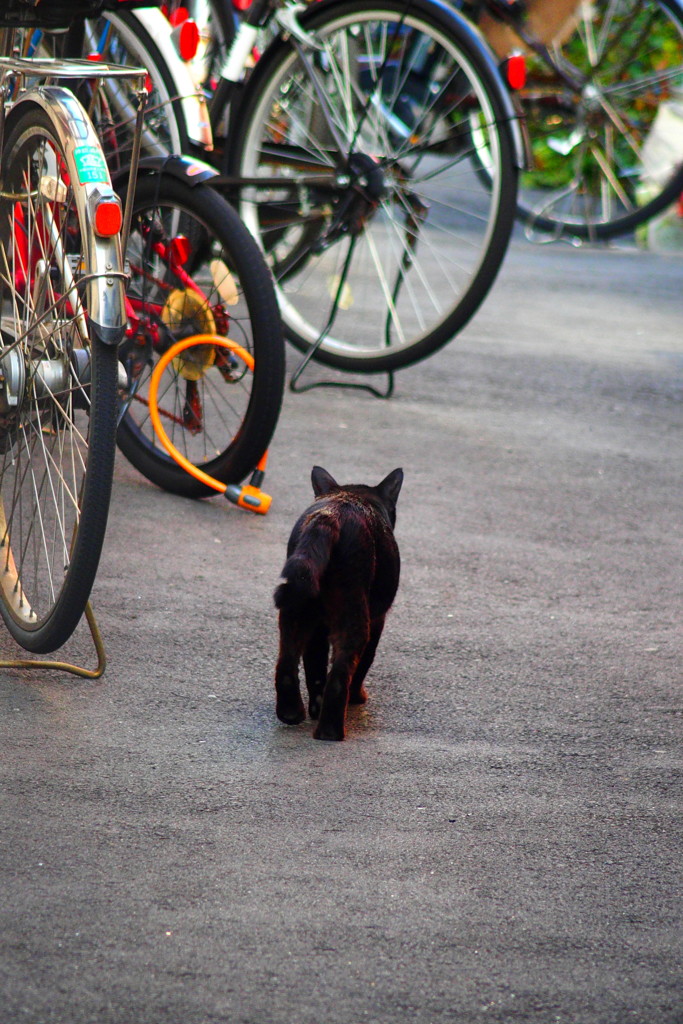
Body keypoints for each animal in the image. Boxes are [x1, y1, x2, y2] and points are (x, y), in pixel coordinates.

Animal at [272, 468, 403, 741]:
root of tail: (331, 514)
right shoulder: (378, 620)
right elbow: (364, 662)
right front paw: (357, 698)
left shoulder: (318, 628)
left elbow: (315, 665)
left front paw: (315, 707)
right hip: (354, 616)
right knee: (340, 674)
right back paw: (330, 731)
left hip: (297, 606)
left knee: (288, 663)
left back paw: (293, 713)